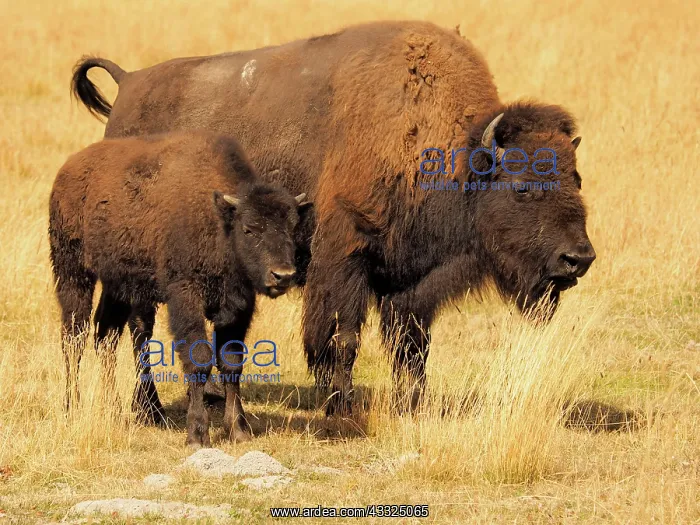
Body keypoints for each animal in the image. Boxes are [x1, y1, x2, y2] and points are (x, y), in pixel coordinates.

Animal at [49, 131, 310, 447]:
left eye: (293, 228)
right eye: (249, 228)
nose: (283, 275)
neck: (219, 221)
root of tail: (68, 170)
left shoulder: (238, 308)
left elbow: (231, 363)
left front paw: (239, 430)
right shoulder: (186, 298)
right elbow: (199, 360)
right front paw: (197, 433)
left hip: (117, 284)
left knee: (105, 336)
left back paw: (113, 410)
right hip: (72, 272)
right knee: (73, 338)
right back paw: (71, 407)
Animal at [70, 20, 596, 416]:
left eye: (577, 178)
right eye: (522, 186)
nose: (578, 259)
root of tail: (128, 83)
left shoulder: (410, 281)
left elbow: (412, 347)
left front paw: (412, 405)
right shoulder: (344, 259)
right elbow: (341, 338)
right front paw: (340, 404)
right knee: (137, 328)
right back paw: (151, 409)